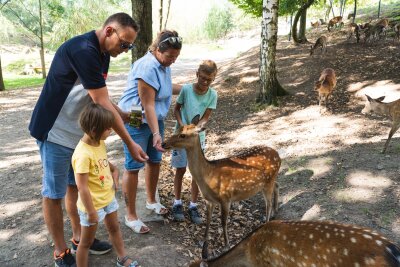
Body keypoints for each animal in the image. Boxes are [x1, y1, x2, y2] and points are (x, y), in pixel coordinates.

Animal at [161, 117, 280, 249]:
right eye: (176, 130)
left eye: (183, 135)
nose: (163, 143)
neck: (208, 175)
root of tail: (278, 155)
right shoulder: (209, 200)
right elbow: (208, 219)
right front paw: (204, 241)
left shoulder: (226, 197)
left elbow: (223, 222)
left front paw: (227, 245)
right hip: (270, 180)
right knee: (277, 186)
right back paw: (275, 213)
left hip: (268, 182)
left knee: (268, 204)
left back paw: (267, 222)